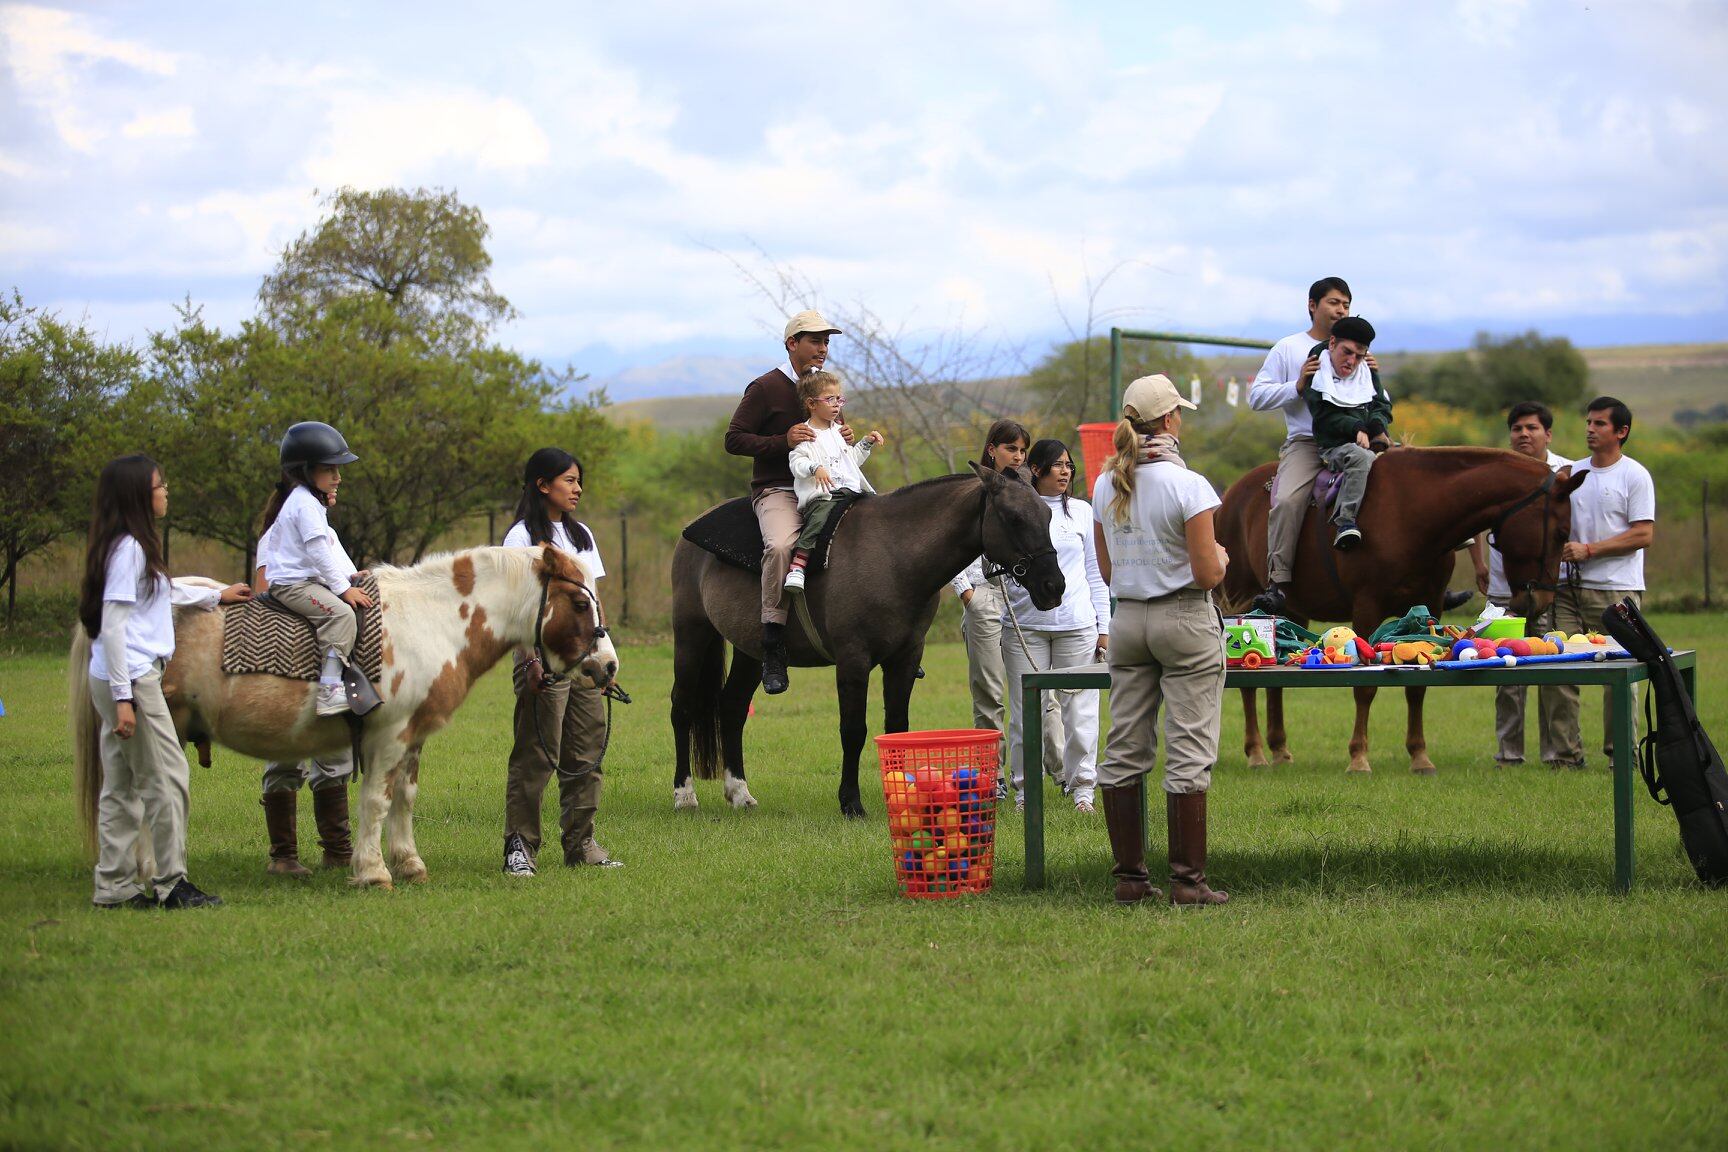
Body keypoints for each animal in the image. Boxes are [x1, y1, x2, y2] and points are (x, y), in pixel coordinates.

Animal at [69, 545, 622, 891]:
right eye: (579, 602)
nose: (609, 665)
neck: (433, 617)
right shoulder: (388, 735)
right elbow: (376, 800)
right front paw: (373, 872)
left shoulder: (413, 736)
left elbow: (404, 799)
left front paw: (409, 864)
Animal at [670, 466, 1064, 818]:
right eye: (1014, 518)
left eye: (1046, 514)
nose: (1054, 586)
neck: (893, 555)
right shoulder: (853, 661)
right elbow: (853, 731)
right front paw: (851, 802)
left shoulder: (904, 659)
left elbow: (897, 728)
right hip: (691, 634)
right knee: (682, 707)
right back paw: (684, 794)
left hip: (751, 652)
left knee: (733, 708)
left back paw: (739, 793)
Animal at [1216, 449, 1582, 773]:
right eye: (1562, 532)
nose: (1542, 600)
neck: (1413, 513)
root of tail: (1229, 497)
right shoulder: (1367, 608)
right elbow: (1365, 687)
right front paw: (1358, 757)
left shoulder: (1430, 608)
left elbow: (1417, 687)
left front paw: (1419, 757)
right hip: (1245, 604)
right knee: (1249, 684)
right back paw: (1256, 752)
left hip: (1292, 612)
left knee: (1274, 685)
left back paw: (1279, 750)